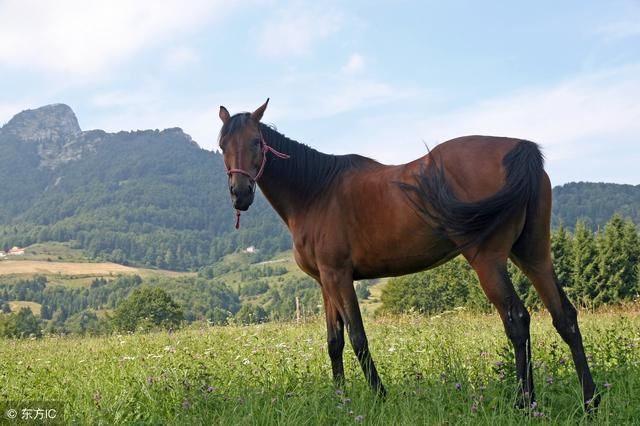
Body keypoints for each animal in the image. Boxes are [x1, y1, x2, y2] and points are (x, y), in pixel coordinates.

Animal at [219, 98, 600, 412]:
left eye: (256, 142)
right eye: (222, 145)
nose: (240, 194)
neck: (316, 192)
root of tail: (520, 150)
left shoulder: (339, 276)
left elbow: (357, 337)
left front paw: (379, 396)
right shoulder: (325, 283)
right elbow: (334, 342)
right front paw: (340, 398)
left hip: (488, 260)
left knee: (517, 320)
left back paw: (524, 403)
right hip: (533, 255)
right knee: (565, 317)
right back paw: (588, 401)